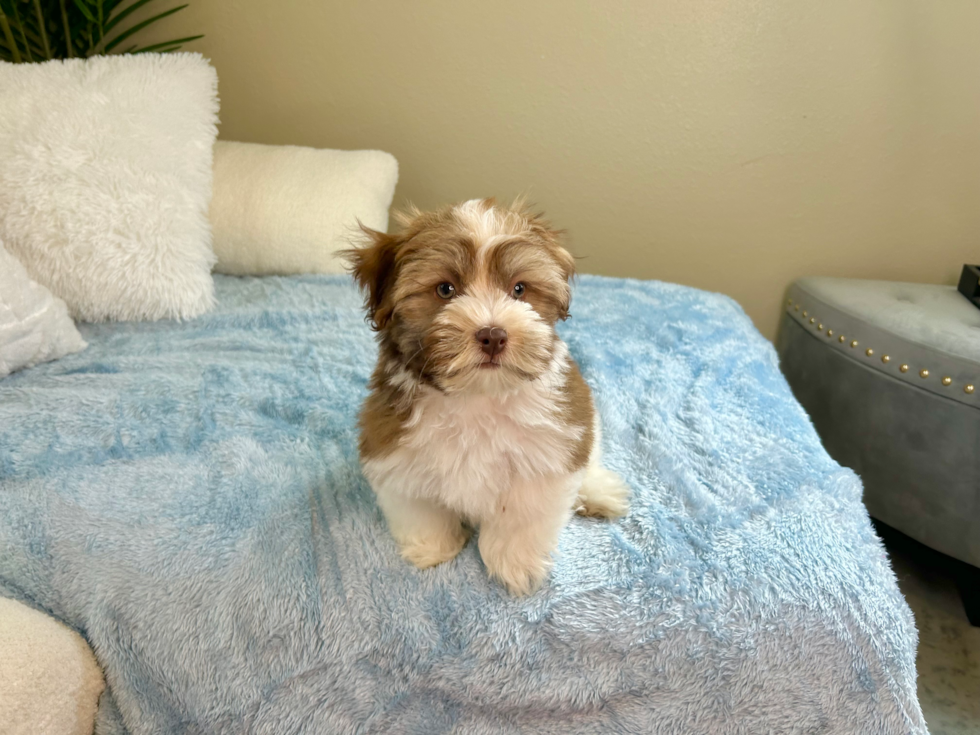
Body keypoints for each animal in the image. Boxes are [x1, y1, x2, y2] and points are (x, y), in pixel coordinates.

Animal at [344, 198, 628, 596]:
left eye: (519, 289)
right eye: (445, 289)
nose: (493, 335)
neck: (477, 396)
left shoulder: (547, 454)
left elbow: (519, 516)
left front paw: (515, 565)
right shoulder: (396, 453)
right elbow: (421, 508)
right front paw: (433, 548)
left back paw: (597, 492)